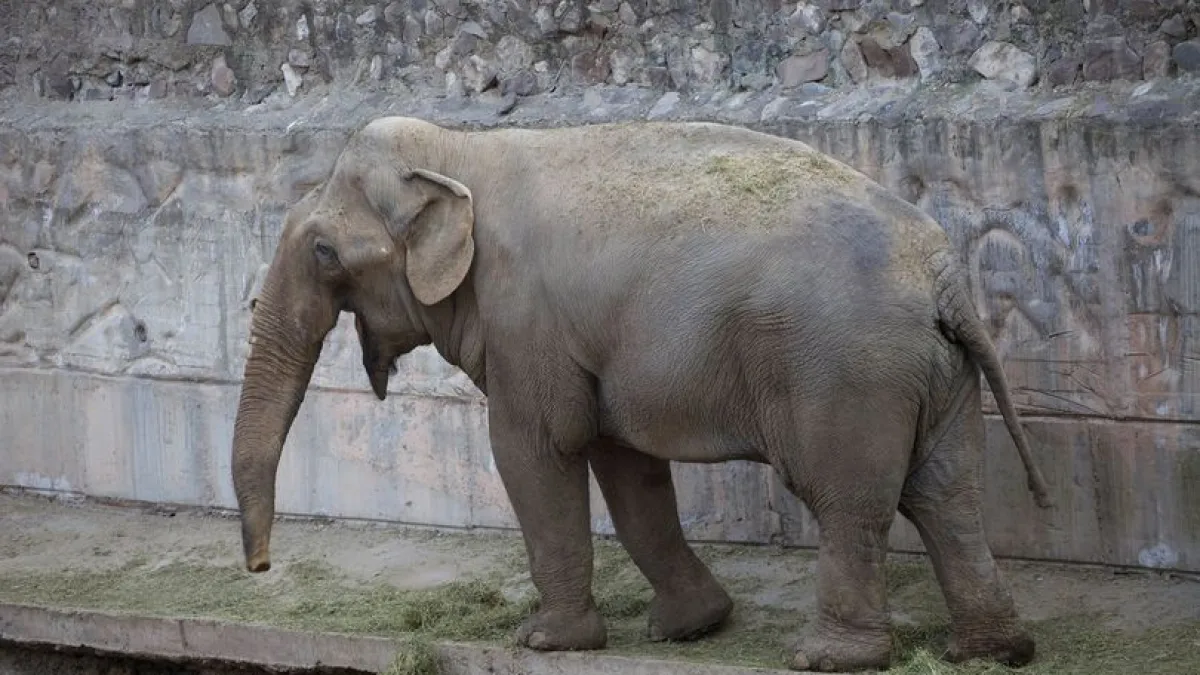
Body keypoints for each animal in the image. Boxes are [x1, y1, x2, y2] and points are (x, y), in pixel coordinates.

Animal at [230, 116, 1054, 673]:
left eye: (324, 252)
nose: (261, 569)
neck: (461, 150)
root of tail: (943, 276)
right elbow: (625, 463)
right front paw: (690, 627)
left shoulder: (525, 324)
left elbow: (532, 453)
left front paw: (545, 640)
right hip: (936, 372)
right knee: (948, 494)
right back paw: (992, 650)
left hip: (849, 374)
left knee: (852, 500)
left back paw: (827, 655)